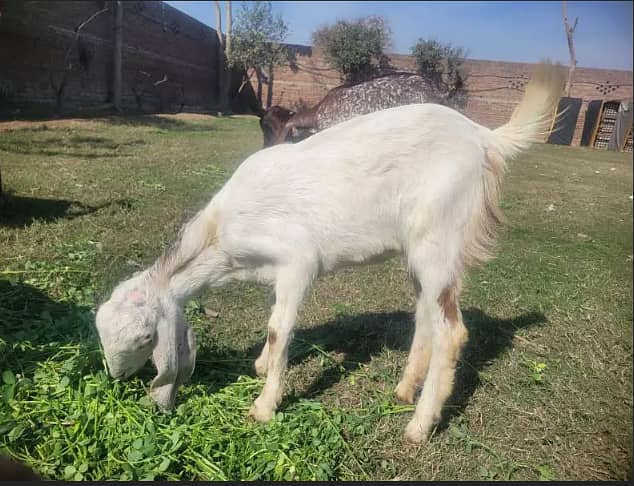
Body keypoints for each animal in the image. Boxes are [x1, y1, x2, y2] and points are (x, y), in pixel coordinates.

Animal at [95, 62, 564, 442]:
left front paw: (263, 406)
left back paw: (419, 424)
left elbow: (279, 329)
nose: (116, 376)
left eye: (144, 337)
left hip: (439, 237)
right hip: (419, 253)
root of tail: (484, 138)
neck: (220, 234)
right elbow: (274, 323)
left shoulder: (298, 262)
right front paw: (261, 366)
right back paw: (403, 389)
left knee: (452, 331)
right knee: (426, 317)